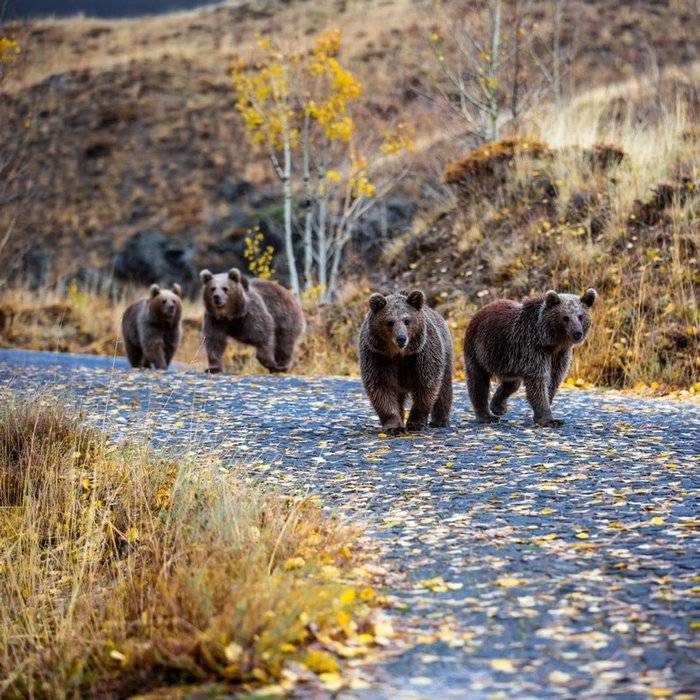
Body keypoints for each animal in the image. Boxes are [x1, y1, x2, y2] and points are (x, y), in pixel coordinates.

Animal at [358, 288, 452, 432]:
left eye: (407, 320)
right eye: (390, 322)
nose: (401, 338)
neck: (399, 354)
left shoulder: (422, 355)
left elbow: (427, 386)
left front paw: (415, 423)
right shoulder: (378, 357)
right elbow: (381, 387)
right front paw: (394, 426)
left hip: (445, 353)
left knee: (444, 388)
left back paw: (440, 420)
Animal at [464, 288, 596, 426]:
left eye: (580, 316)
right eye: (565, 318)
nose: (577, 333)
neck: (552, 341)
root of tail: (481, 310)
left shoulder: (560, 355)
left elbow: (553, 380)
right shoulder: (533, 348)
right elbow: (538, 380)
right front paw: (549, 420)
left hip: (507, 361)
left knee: (512, 384)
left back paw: (498, 406)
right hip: (479, 349)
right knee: (478, 380)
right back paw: (486, 416)